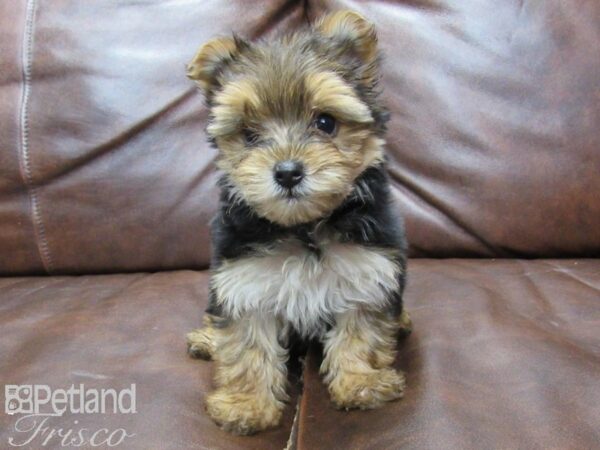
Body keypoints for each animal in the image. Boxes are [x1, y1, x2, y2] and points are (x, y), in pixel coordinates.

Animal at [188, 10, 410, 434]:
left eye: (325, 122)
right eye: (249, 134)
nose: (288, 172)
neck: (304, 227)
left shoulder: (367, 271)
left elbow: (361, 331)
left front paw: (360, 382)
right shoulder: (244, 281)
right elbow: (247, 343)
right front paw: (247, 405)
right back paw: (206, 339)